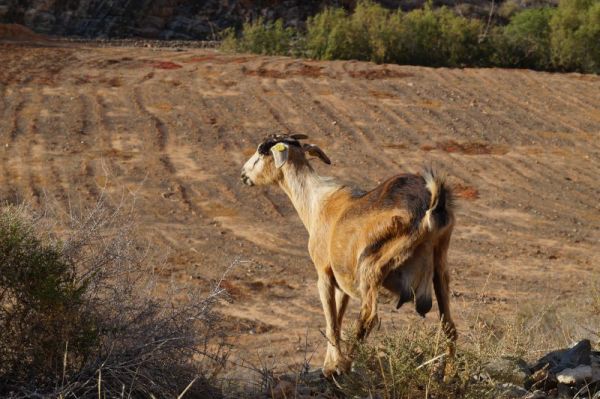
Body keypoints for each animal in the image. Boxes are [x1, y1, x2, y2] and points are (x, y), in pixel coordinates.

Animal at [239, 134, 454, 378]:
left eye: (261, 152)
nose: (244, 174)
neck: (317, 203)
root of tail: (429, 209)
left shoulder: (323, 273)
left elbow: (331, 322)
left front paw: (333, 368)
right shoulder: (342, 282)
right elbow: (338, 318)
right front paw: (330, 364)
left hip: (372, 267)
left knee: (369, 317)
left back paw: (347, 364)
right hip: (440, 265)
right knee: (448, 324)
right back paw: (450, 374)